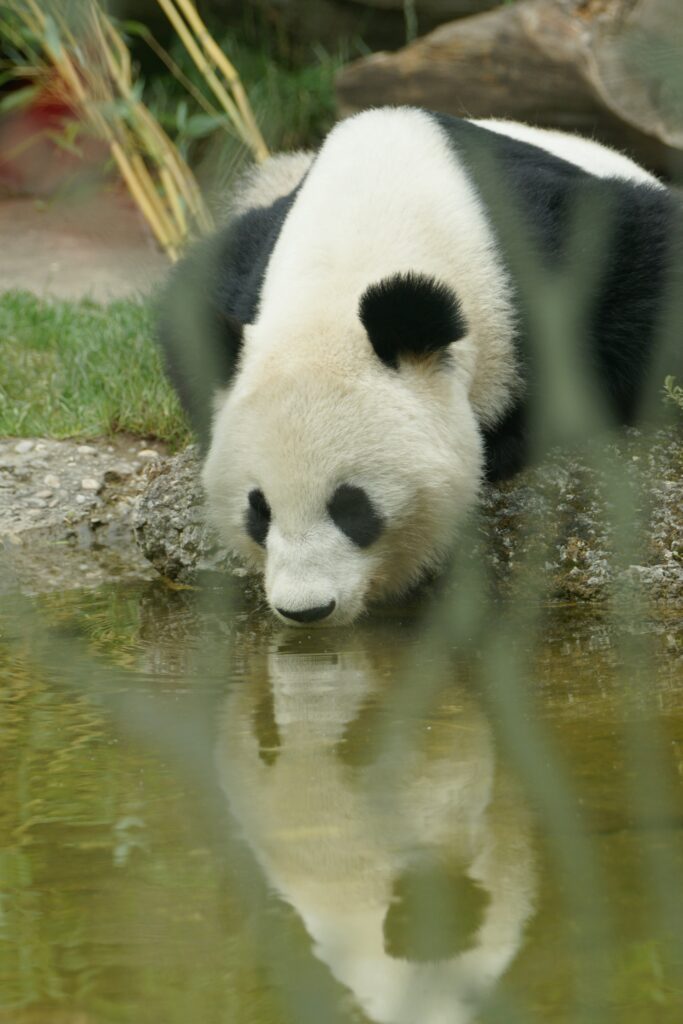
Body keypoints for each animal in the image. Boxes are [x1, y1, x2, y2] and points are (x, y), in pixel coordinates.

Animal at [159, 107, 682, 626]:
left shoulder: (543, 246)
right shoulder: (248, 266)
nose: (306, 609)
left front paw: (508, 439)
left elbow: (641, 279)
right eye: (259, 510)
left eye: (352, 506)